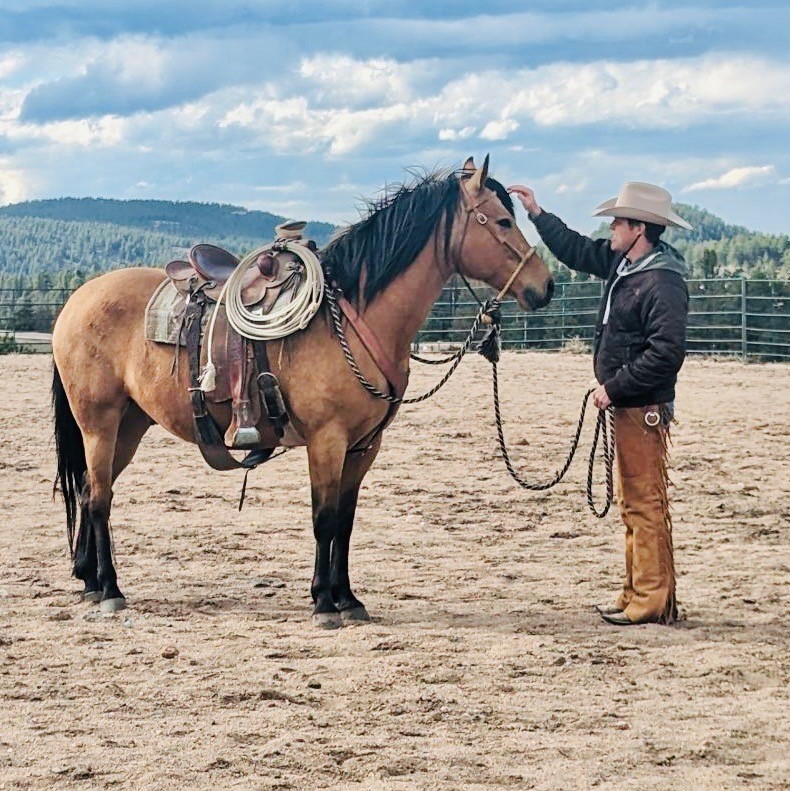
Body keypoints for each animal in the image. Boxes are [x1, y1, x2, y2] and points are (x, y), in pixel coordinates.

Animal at [51, 156, 556, 632]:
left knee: (91, 490)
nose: (545, 287)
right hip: (99, 422)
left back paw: (90, 581)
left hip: (129, 425)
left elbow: (346, 521)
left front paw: (349, 599)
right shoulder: (326, 440)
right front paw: (323, 603)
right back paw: (110, 589)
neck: (352, 318)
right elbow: (324, 518)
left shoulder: (364, 446)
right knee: (98, 498)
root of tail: (77, 299)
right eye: (502, 221)